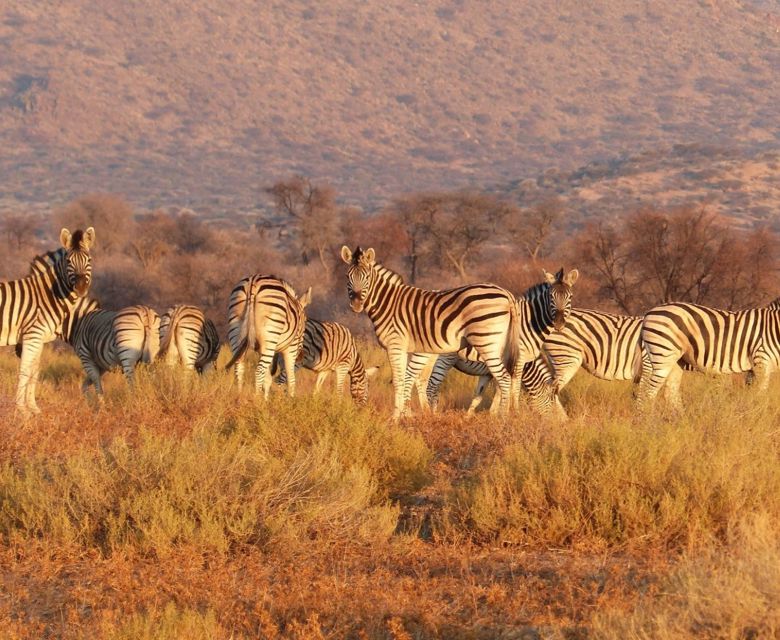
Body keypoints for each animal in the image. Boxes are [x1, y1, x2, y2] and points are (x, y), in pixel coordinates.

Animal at [1, 227, 95, 415]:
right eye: (69, 261)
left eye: (88, 259)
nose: (81, 287)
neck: (48, 295)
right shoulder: (32, 336)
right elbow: (25, 370)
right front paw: (22, 410)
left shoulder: (38, 339)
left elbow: (34, 370)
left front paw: (33, 408)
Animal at [341, 245, 529, 419]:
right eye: (347, 277)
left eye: (367, 277)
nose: (356, 304)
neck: (388, 303)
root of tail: (506, 294)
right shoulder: (402, 348)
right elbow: (404, 379)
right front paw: (403, 416)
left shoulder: (395, 345)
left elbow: (398, 381)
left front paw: (395, 418)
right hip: (500, 345)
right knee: (507, 378)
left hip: (486, 342)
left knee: (504, 378)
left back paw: (502, 418)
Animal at [418, 268, 579, 416]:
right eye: (551, 297)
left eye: (570, 297)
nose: (559, 323)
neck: (529, 323)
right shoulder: (518, 360)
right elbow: (512, 388)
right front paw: (512, 413)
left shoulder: (490, 371)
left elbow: (482, 395)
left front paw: (488, 415)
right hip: (440, 356)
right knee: (426, 383)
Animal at [637, 299, 780, 407]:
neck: (774, 327)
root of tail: (648, 313)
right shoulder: (761, 362)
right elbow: (760, 396)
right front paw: (756, 416)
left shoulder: (753, 369)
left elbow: (751, 393)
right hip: (662, 356)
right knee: (648, 393)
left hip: (676, 361)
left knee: (670, 392)